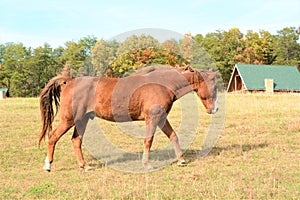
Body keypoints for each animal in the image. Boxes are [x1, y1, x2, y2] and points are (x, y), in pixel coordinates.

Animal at [39, 65, 218, 171]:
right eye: (214, 86)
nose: (215, 109)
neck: (163, 84)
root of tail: (69, 81)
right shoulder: (152, 119)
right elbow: (148, 140)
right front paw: (146, 164)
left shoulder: (161, 118)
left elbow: (173, 135)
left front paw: (181, 160)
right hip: (68, 119)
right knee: (53, 136)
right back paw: (48, 165)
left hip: (82, 120)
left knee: (76, 141)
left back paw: (85, 166)